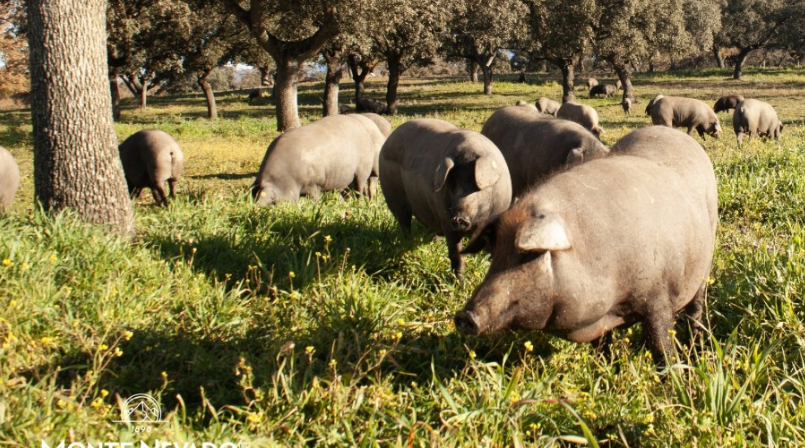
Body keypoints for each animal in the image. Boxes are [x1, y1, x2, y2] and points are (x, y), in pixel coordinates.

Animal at [253, 114, 385, 204]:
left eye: (273, 201)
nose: (257, 206)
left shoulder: (314, 183)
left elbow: (314, 198)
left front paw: (316, 205)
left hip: (364, 169)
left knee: (363, 186)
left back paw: (363, 202)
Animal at [379, 118, 512, 278]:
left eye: (476, 186)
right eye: (453, 185)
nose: (459, 218)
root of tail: (388, 140)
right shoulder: (447, 221)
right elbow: (455, 253)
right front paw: (459, 281)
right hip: (393, 197)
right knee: (403, 221)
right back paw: (407, 242)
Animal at [455, 126, 718, 364]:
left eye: (530, 254)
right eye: (496, 254)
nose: (464, 315)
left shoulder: (657, 295)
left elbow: (660, 344)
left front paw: (673, 374)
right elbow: (602, 345)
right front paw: (605, 368)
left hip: (705, 263)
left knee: (696, 307)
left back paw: (697, 345)